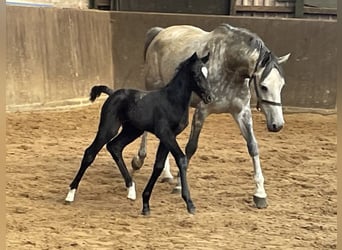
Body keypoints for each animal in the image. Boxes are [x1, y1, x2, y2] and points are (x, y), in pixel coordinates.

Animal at [65, 52, 211, 215]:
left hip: (132, 130)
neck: (171, 101)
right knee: (90, 152)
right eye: (195, 73)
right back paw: (70, 194)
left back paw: (131, 189)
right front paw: (190, 204)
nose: (209, 97)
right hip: (109, 128)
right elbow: (181, 159)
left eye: (207, 73)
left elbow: (158, 166)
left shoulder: (168, 136)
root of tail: (113, 93)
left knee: (114, 147)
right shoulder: (165, 133)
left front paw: (146, 204)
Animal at [130, 23, 290, 208]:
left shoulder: (241, 112)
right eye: (264, 86)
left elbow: (253, 146)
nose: (277, 125)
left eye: (282, 85)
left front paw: (260, 193)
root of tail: (160, 33)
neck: (229, 65)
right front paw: (179, 185)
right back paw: (139, 160)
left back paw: (166, 174)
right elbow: (191, 147)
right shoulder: (202, 111)